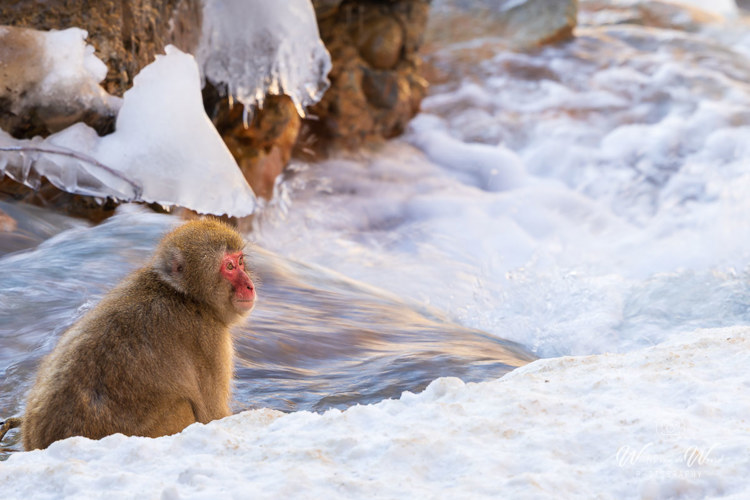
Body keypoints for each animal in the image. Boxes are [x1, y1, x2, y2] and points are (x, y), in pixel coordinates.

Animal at [16, 218, 256, 450]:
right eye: (229, 267)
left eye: (240, 261)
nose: (250, 286)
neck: (184, 296)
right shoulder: (209, 338)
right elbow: (212, 415)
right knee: (182, 407)